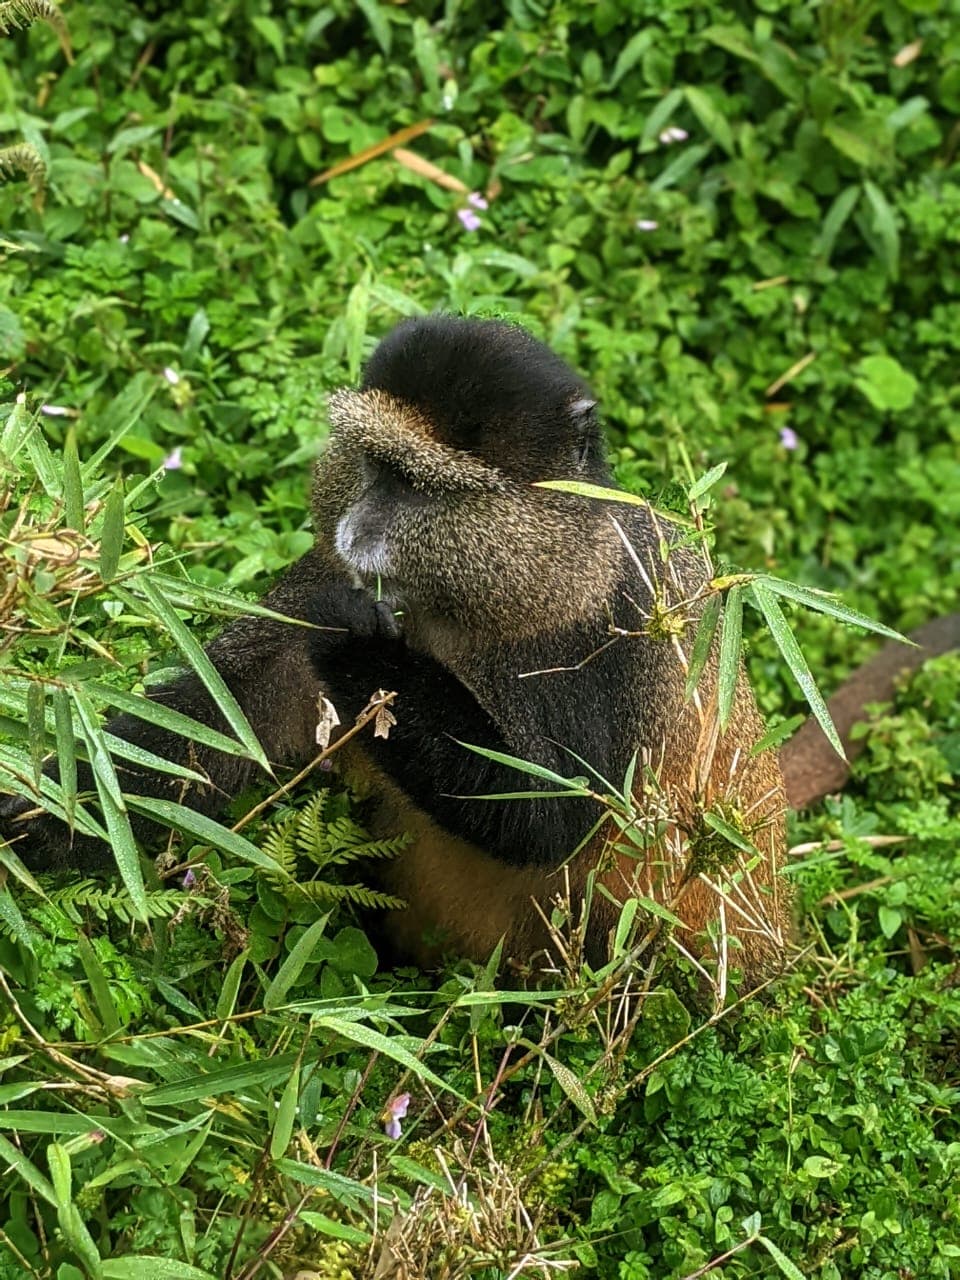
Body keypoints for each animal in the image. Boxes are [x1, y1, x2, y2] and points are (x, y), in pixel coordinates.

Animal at [1, 317, 957, 984]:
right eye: (373, 466)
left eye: (419, 487)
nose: (355, 531)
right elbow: (219, 726)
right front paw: (34, 813)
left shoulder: (614, 624)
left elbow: (554, 815)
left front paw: (361, 642)